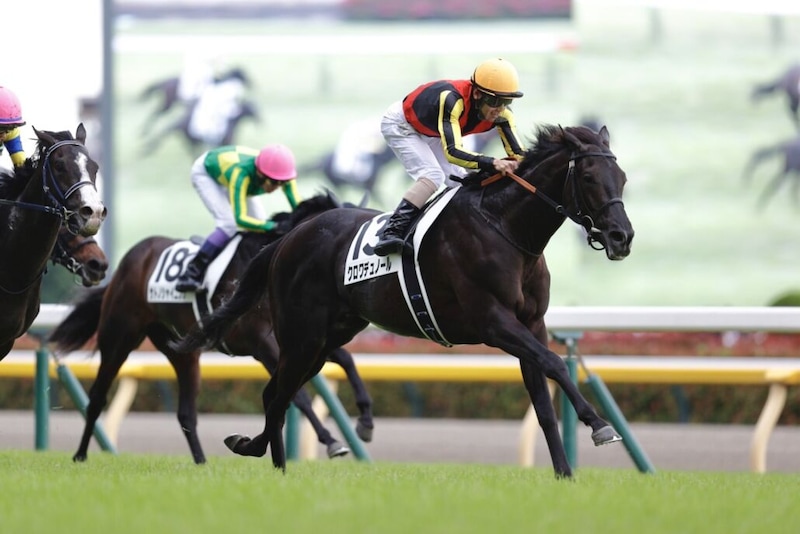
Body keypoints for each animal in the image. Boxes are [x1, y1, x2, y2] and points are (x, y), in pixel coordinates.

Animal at [48, 192, 374, 465]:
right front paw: (332, 441)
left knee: (186, 413)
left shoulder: (301, 340)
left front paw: (364, 420)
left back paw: (202, 462)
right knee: (97, 398)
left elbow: (346, 360)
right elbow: (298, 395)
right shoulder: (264, 344)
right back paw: (79, 455)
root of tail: (127, 264)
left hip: (182, 351)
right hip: (119, 337)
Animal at [174, 124, 635, 478]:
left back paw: (268, 458)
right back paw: (262, 454)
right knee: (278, 394)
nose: (621, 237)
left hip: (325, 340)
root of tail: (286, 239)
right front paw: (599, 425)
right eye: (589, 177)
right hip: (301, 335)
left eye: (622, 177)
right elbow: (555, 363)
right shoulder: (493, 322)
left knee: (280, 393)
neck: (505, 228)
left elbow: (542, 399)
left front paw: (565, 473)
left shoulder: (532, 324)